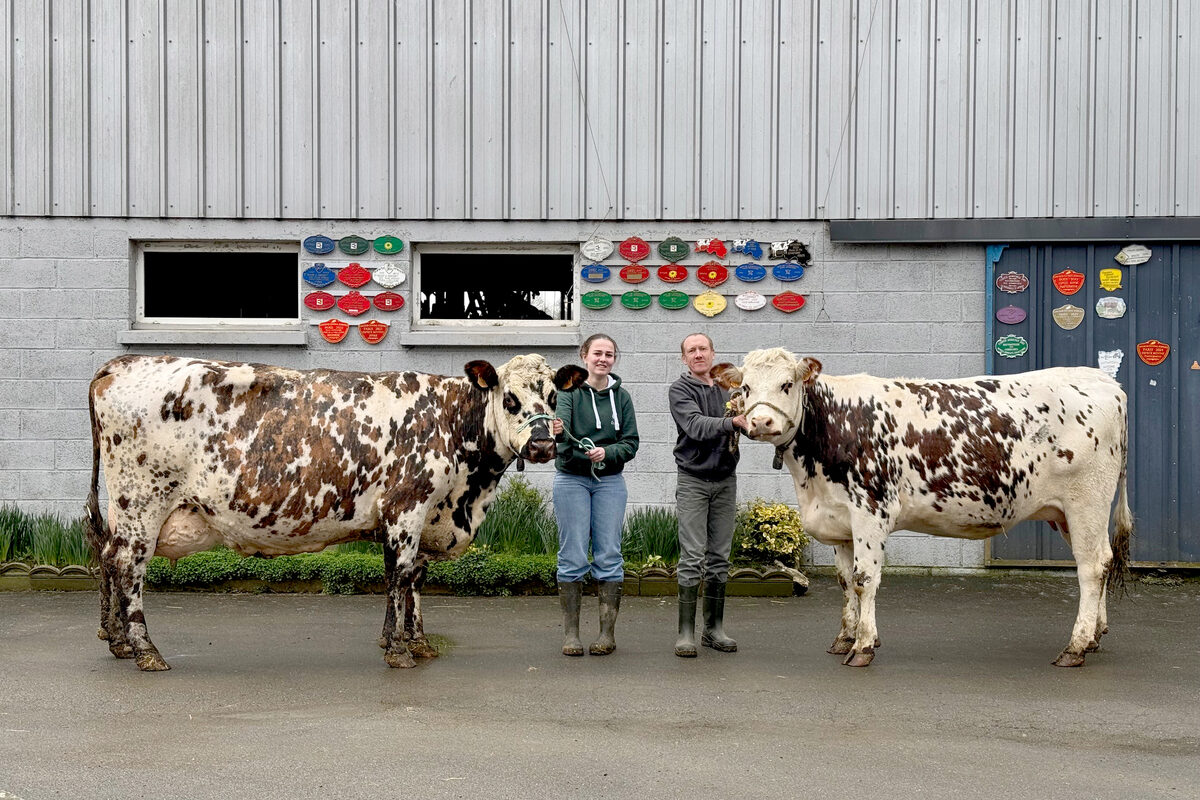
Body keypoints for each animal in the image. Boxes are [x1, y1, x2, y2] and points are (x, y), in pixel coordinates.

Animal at [87, 352, 585, 671]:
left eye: (552, 398)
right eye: (510, 399)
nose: (543, 444)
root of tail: (121, 364)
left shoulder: (421, 518)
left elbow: (414, 580)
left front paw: (417, 641)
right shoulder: (406, 508)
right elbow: (399, 578)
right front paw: (398, 650)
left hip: (125, 511)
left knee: (108, 560)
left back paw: (118, 643)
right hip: (142, 503)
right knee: (128, 567)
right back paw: (145, 650)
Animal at [710, 350, 1132, 671]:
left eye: (787, 384)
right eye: (745, 388)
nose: (760, 421)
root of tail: (1104, 381)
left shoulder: (871, 511)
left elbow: (865, 580)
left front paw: (863, 646)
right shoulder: (840, 519)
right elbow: (845, 581)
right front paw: (846, 636)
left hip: (1086, 502)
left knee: (1091, 568)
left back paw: (1075, 647)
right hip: (1069, 513)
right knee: (1104, 560)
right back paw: (1094, 636)